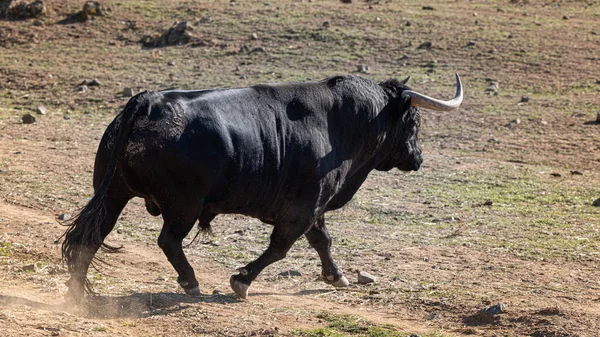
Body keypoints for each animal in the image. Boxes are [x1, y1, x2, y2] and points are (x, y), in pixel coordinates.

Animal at [62, 74, 464, 300]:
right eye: (414, 121)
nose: (418, 157)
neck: (342, 123)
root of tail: (149, 101)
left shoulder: (314, 208)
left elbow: (322, 241)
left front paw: (337, 276)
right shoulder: (301, 209)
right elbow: (280, 249)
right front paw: (241, 280)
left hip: (112, 195)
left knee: (89, 239)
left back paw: (77, 294)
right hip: (183, 205)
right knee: (168, 241)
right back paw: (190, 282)